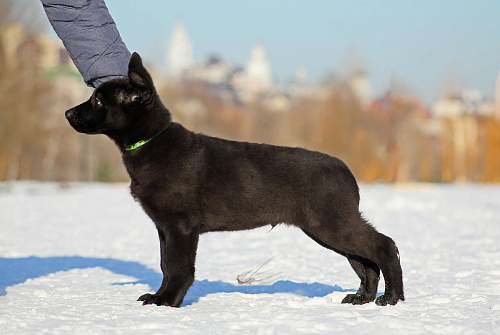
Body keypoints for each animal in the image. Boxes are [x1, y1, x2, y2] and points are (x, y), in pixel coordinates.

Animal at [64, 53, 404, 308]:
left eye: (98, 101)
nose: (67, 113)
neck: (152, 141)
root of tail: (346, 171)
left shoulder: (180, 226)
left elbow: (178, 267)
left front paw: (168, 302)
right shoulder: (164, 227)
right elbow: (164, 265)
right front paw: (157, 297)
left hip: (332, 223)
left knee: (383, 246)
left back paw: (392, 297)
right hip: (327, 227)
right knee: (365, 261)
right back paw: (361, 298)